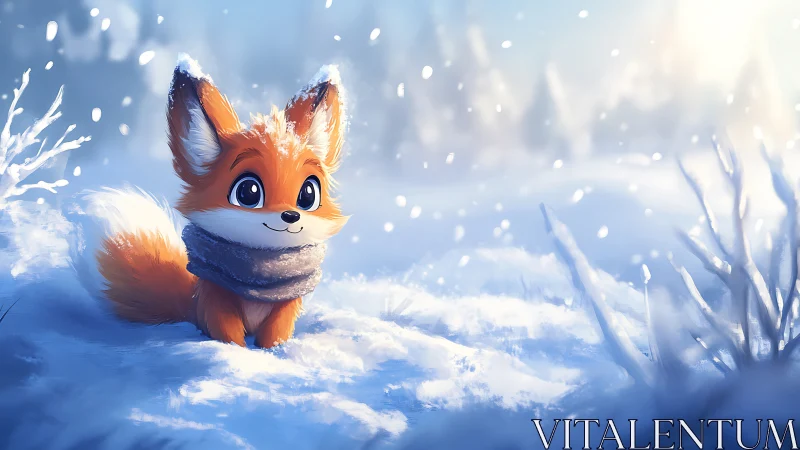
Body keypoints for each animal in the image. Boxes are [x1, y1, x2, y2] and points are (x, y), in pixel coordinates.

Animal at [94, 54, 348, 348]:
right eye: (249, 192)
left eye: (308, 195)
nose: (290, 216)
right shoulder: (216, 295)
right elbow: (228, 332)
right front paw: (235, 352)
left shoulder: (288, 302)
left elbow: (275, 332)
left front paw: (271, 351)